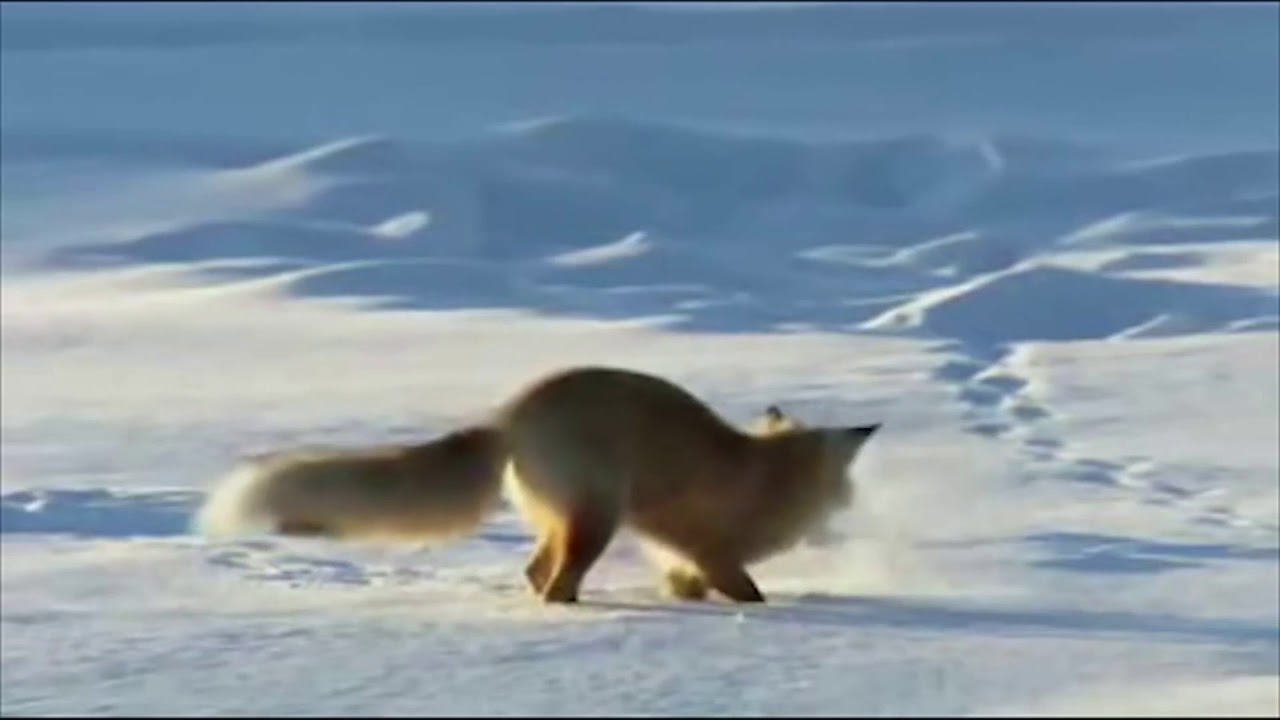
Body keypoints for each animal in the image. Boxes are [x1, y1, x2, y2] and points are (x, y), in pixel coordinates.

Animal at [197, 366, 880, 602]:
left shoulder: (679, 555)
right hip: (597, 517)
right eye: (846, 483)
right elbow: (747, 593)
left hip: (567, 519)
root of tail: (512, 412)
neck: (767, 472)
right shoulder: (709, 547)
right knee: (555, 583)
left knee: (534, 573)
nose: (851, 508)